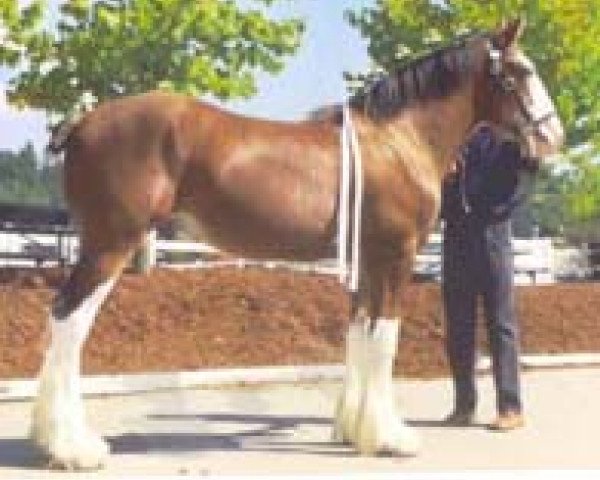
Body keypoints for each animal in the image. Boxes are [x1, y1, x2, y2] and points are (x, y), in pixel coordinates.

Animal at [32, 19, 564, 468]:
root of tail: (81, 123)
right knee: (69, 322)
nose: (554, 135)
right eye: (522, 70)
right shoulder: (396, 255)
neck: (396, 140)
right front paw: (391, 438)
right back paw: (73, 448)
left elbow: (359, 333)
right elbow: (385, 338)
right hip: (109, 245)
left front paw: (353, 430)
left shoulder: (367, 260)